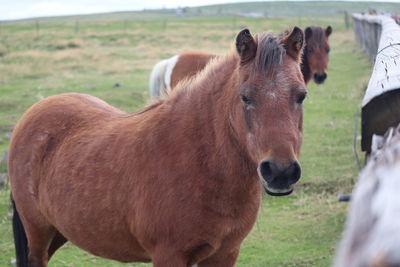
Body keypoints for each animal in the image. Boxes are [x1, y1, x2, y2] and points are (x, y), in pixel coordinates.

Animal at [8, 27, 306, 267]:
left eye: (301, 95)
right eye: (245, 97)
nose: (280, 172)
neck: (199, 161)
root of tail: (33, 113)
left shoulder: (225, 253)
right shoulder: (169, 255)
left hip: (58, 231)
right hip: (38, 232)